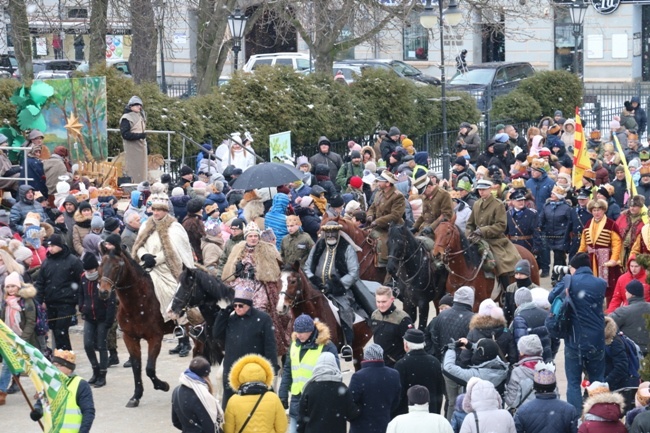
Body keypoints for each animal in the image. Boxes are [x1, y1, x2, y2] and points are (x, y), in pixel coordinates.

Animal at [96, 248, 172, 406]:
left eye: (116, 267)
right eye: (100, 266)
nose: (104, 292)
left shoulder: (155, 337)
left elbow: (149, 369)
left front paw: (163, 385)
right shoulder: (130, 337)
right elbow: (136, 367)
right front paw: (136, 396)